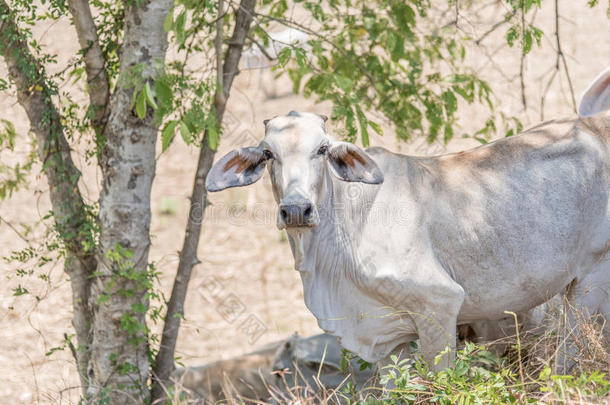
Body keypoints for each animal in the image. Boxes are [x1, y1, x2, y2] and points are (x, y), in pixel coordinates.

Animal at [207, 68, 608, 370]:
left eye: (321, 149)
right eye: (268, 153)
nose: (295, 210)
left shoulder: (438, 307)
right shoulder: (387, 342)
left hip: (590, 283)